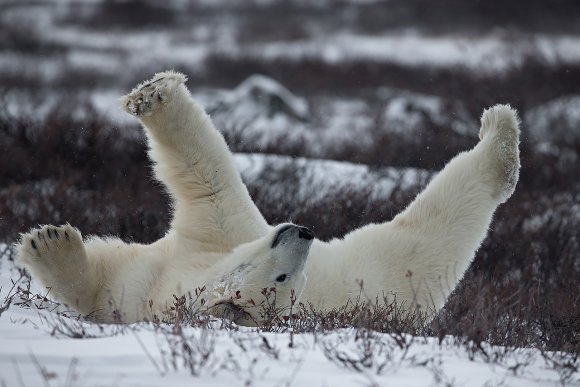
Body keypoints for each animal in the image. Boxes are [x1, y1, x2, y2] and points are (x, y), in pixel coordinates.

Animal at [15, 71, 520, 326]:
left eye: (286, 280)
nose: (304, 232)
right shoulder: (194, 252)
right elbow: (206, 182)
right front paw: (154, 92)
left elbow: (208, 179)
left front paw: (47, 242)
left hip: (400, 265)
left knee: (441, 220)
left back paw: (500, 134)